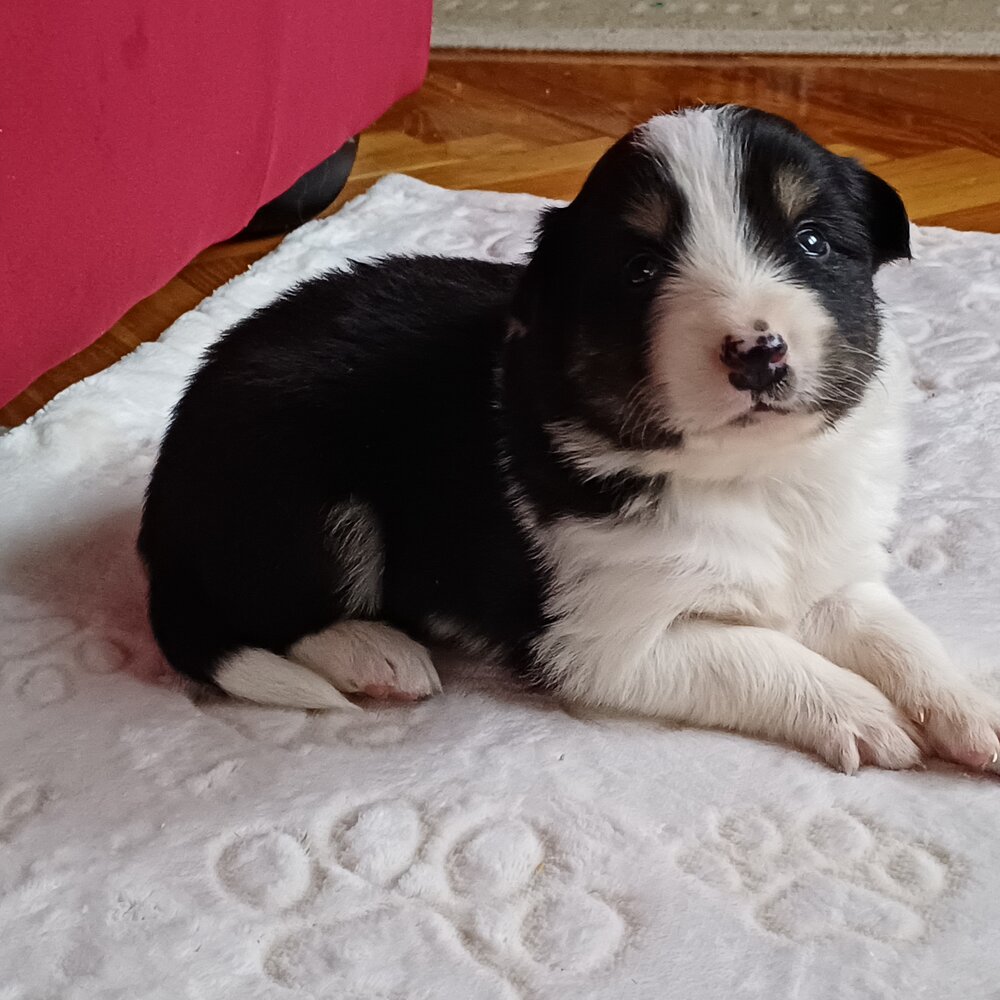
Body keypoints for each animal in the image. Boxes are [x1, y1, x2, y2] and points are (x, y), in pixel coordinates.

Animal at [139, 104, 1000, 773]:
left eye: (813, 240)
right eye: (642, 269)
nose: (758, 352)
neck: (749, 475)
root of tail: (159, 525)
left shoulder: (832, 573)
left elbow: (900, 638)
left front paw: (974, 709)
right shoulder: (610, 641)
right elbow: (761, 656)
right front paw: (864, 714)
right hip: (302, 498)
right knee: (263, 617)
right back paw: (379, 655)